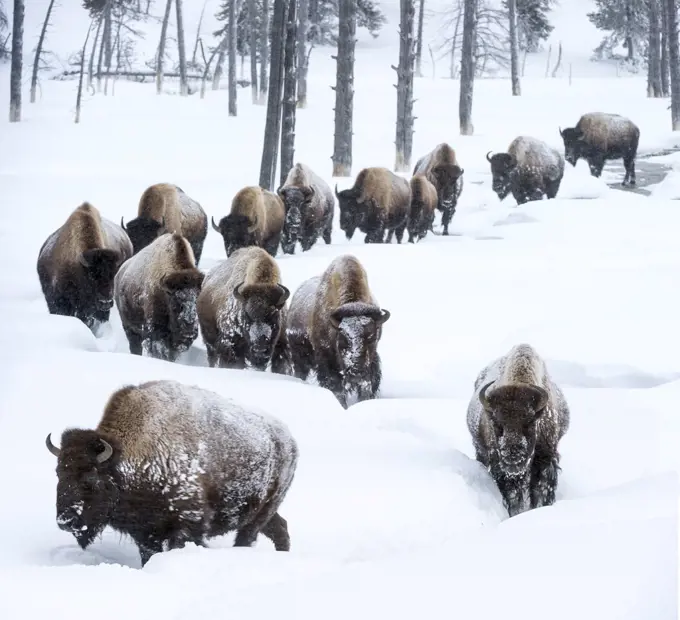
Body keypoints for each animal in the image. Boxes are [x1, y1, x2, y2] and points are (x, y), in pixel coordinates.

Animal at [43, 378, 296, 568]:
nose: (65, 521)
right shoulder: (145, 532)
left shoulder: (187, 524)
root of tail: (290, 440)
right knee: (280, 527)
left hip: (261, 512)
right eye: (58, 475)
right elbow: (148, 554)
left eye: (89, 480)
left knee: (249, 536)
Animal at [286, 254, 394, 410]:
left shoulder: (371, 365)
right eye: (343, 338)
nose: (356, 372)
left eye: (372, 337)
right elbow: (336, 389)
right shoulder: (328, 362)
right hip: (299, 356)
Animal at [464, 344, 572, 520]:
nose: (512, 458)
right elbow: (513, 496)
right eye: (496, 423)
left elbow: (541, 490)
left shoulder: (545, 461)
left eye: (530, 422)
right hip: (480, 450)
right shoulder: (501, 468)